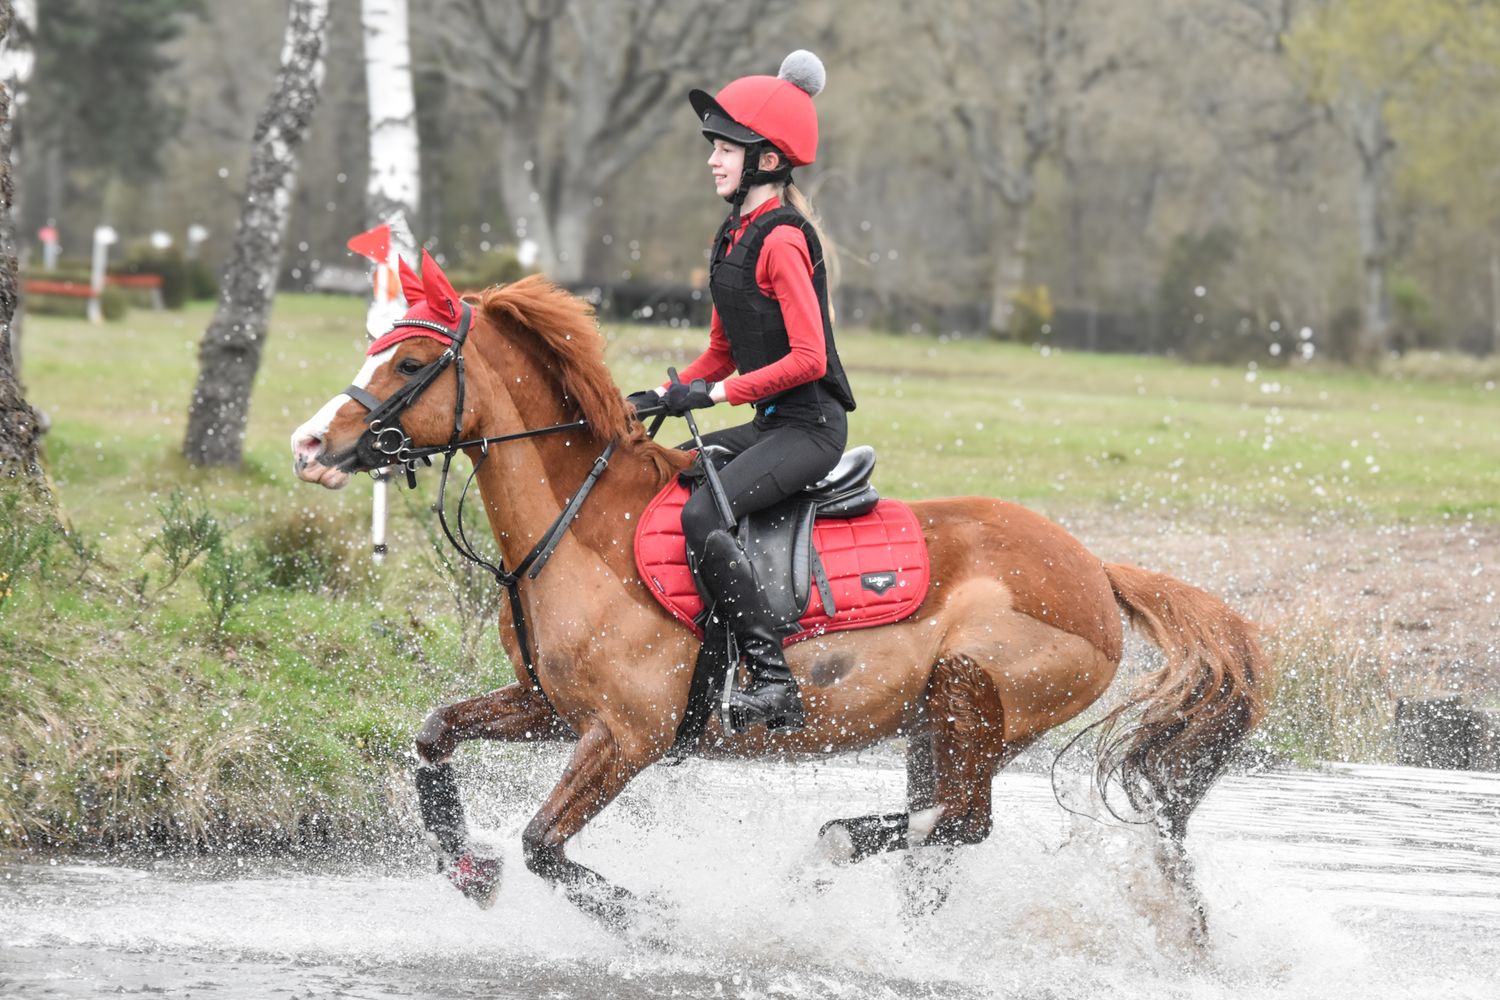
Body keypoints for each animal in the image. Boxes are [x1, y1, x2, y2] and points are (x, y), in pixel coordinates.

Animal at [290, 262, 1269, 931]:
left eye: (411, 362)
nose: (308, 444)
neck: (576, 522)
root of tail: (1096, 569)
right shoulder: (550, 707)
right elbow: (435, 737)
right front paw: (469, 869)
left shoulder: (629, 735)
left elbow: (543, 844)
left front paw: (651, 924)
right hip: (939, 723)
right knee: (943, 833)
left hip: (975, 695)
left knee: (958, 823)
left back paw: (821, 857)